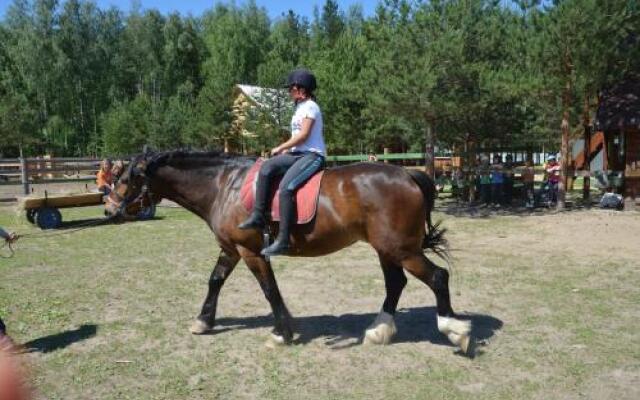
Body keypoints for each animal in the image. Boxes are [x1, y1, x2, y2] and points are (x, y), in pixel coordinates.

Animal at [106, 150, 470, 354]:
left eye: (126, 178)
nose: (109, 211)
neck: (224, 185)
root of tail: (407, 172)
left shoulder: (251, 251)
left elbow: (269, 290)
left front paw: (281, 333)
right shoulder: (230, 249)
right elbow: (215, 281)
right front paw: (203, 321)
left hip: (401, 249)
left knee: (438, 277)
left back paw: (455, 331)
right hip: (387, 249)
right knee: (396, 284)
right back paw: (379, 331)